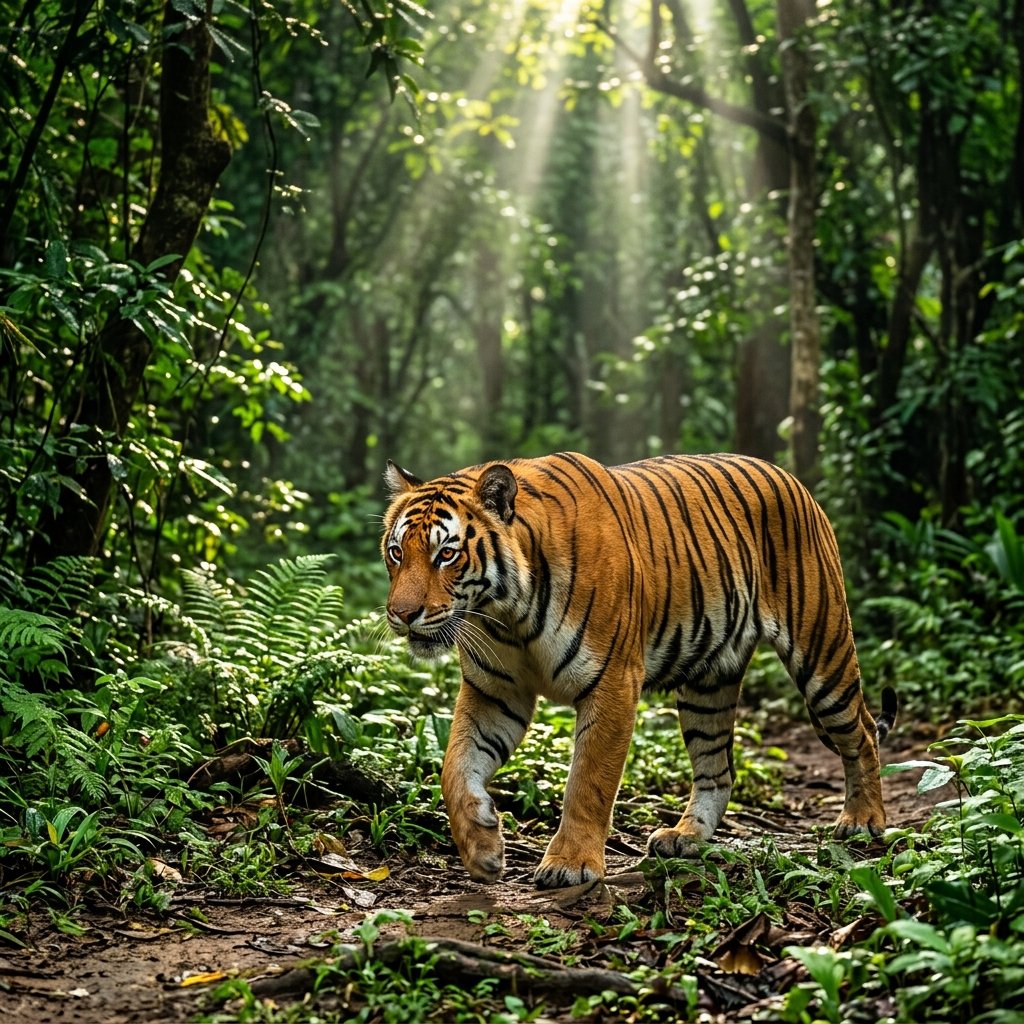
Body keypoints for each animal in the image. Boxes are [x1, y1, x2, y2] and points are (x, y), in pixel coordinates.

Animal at [381, 451, 897, 889]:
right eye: (396, 552)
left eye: (446, 554)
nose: (401, 614)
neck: (507, 614)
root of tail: (791, 477)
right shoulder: (494, 693)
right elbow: (454, 768)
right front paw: (482, 847)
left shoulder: (612, 682)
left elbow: (588, 780)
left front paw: (570, 864)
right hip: (708, 685)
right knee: (718, 769)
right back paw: (685, 836)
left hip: (823, 650)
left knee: (862, 734)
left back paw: (863, 821)